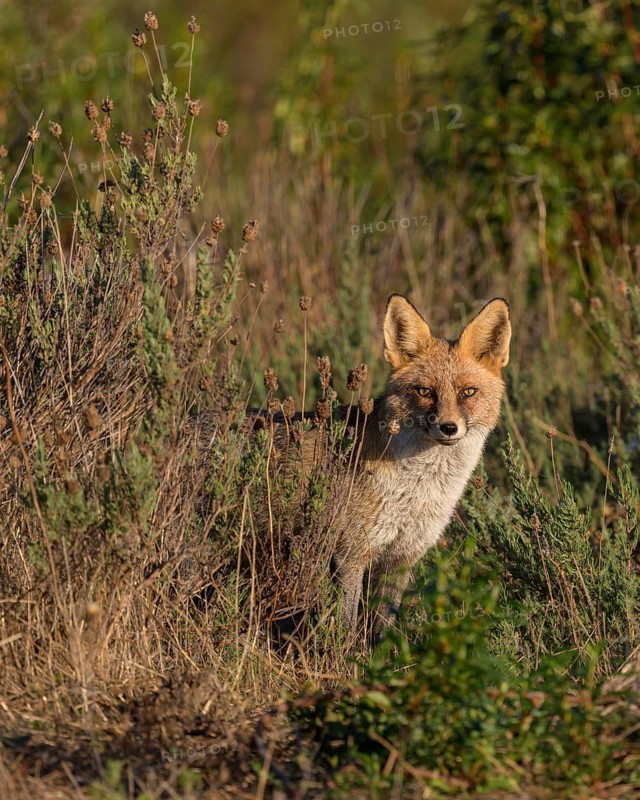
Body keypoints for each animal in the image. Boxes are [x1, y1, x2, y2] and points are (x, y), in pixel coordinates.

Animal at [330, 293, 512, 635]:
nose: (449, 427)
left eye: (468, 392)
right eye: (425, 391)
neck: (417, 493)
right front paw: (339, 651)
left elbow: (382, 628)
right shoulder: (351, 556)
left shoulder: (401, 559)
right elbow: (344, 628)